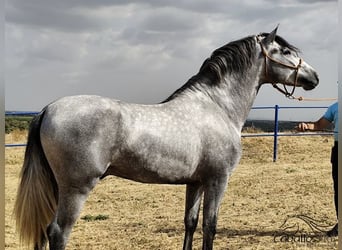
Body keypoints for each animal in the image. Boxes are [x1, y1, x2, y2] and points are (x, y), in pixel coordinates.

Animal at [13, 27, 318, 250]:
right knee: (57, 232)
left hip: (57, 187)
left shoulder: (195, 182)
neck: (217, 106)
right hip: (76, 188)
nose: (314, 77)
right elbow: (210, 226)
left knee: (43, 230)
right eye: (286, 51)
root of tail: (48, 109)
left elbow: (190, 223)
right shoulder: (217, 179)